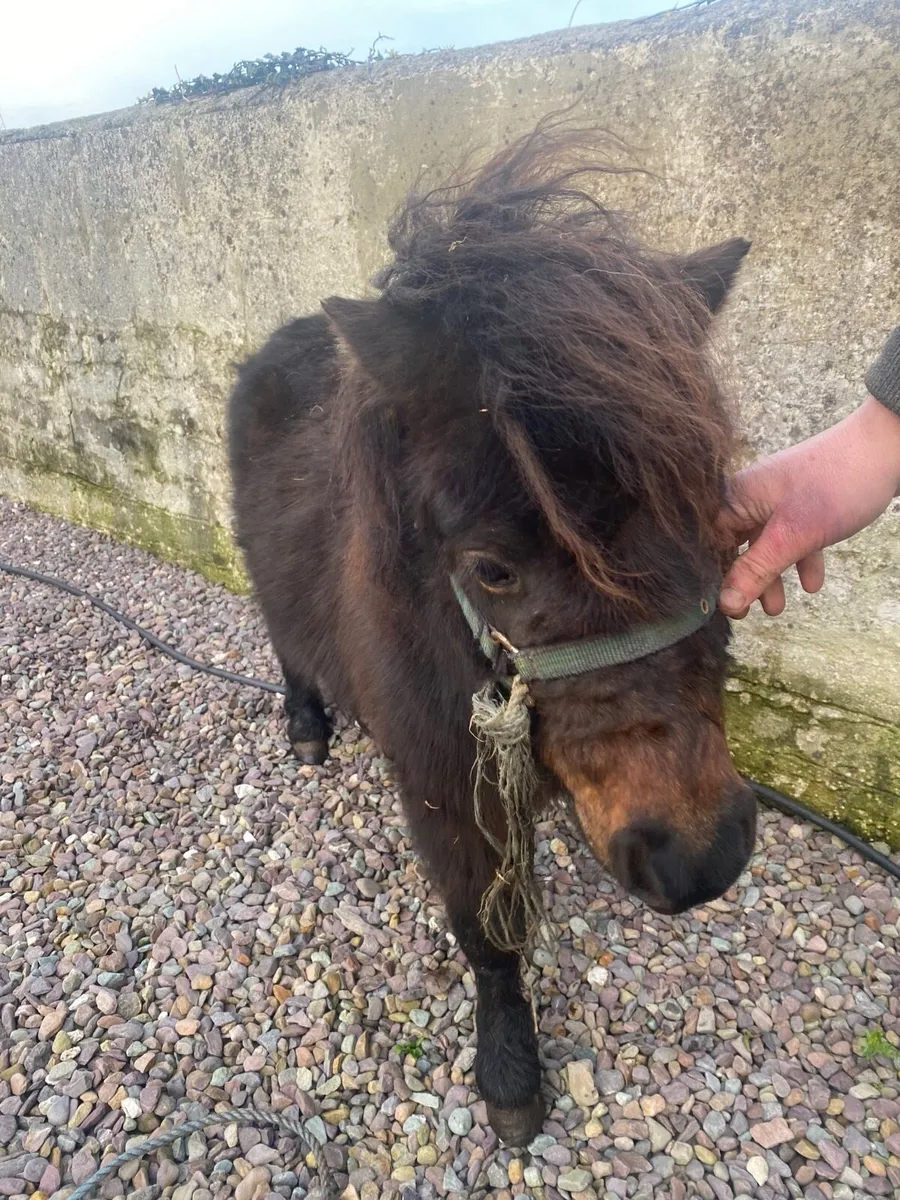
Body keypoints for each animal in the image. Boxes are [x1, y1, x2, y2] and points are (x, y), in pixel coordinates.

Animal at [228, 122, 757, 1146]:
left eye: (714, 510)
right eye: (492, 568)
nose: (700, 860)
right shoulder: (444, 787)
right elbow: (488, 933)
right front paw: (510, 1070)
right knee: (286, 641)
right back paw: (308, 728)